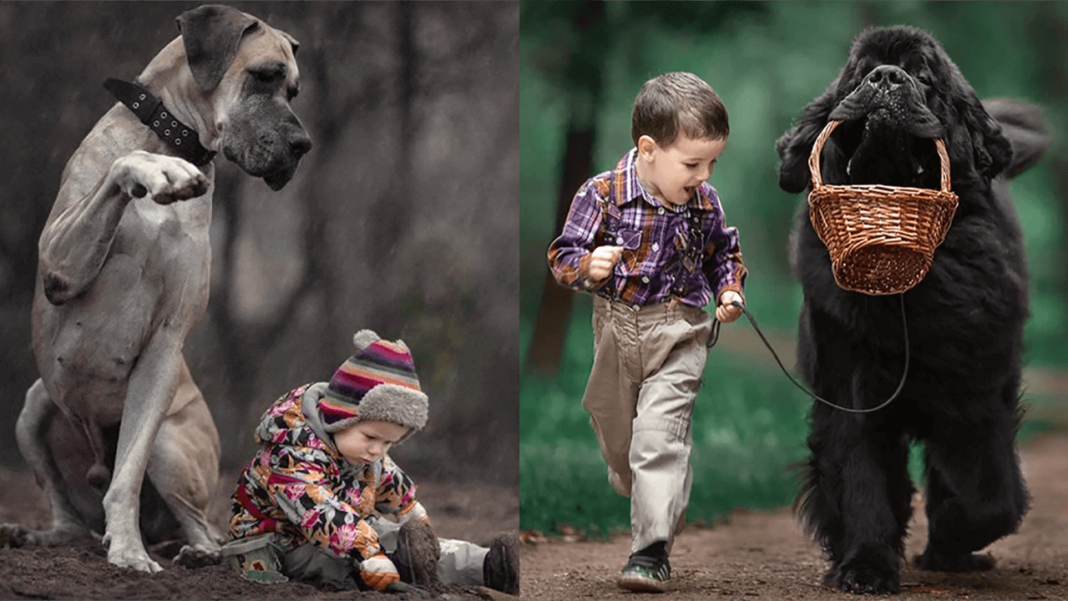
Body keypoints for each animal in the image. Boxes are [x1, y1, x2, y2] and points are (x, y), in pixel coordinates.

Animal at [777, 25, 1050, 593]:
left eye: (924, 76)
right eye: (860, 75)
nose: (886, 77)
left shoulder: (978, 396)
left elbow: (989, 495)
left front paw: (951, 537)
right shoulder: (851, 387)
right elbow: (862, 478)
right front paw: (864, 566)